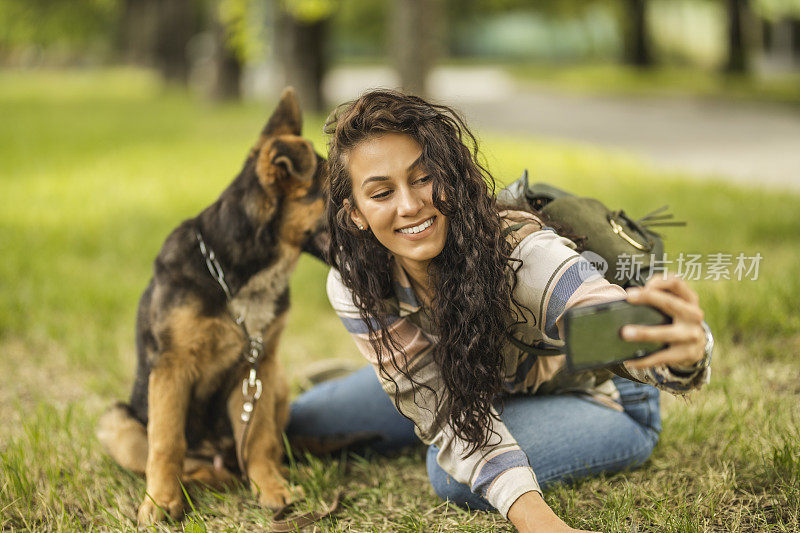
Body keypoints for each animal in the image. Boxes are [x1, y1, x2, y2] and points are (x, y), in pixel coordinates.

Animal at [97, 88, 328, 524]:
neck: (237, 275)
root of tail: (219, 457)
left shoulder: (258, 368)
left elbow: (259, 439)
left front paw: (271, 489)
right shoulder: (172, 369)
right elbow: (166, 443)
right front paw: (160, 503)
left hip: (278, 381)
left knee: (263, 447)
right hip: (115, 421)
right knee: (180, 459)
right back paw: (199, 481)